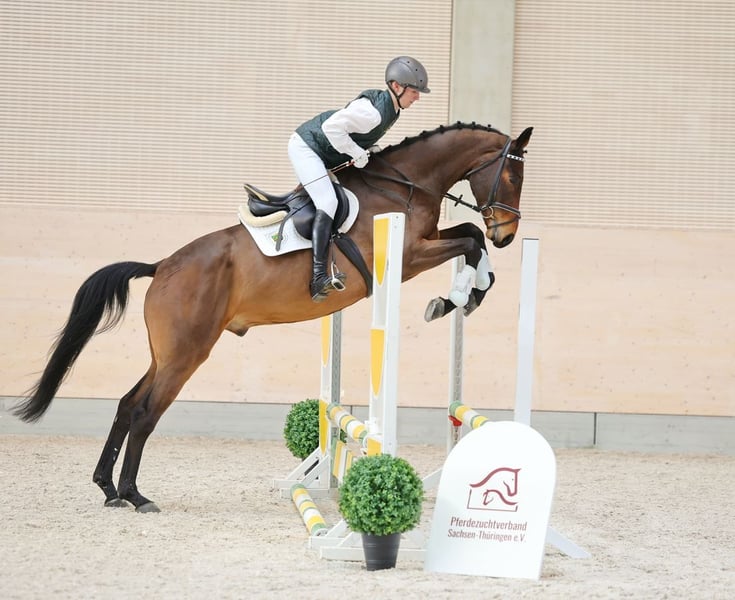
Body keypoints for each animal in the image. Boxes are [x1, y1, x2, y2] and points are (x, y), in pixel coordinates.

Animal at [13, 122, 533, 512]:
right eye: (511, 176)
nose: (508, 234)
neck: (404, 184)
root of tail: (162, 266)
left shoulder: (425, 244)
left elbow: (469, 236)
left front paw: (466, 293)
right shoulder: (407, 258)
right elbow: (469, 241)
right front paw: (456, 297)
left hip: (166, 354)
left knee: (126, 405)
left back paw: (107, 488)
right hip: (186, 353)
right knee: (144, 413)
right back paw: (135, 495)